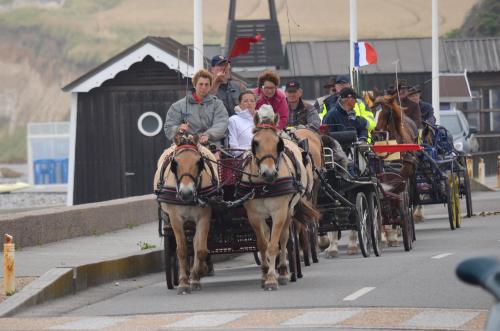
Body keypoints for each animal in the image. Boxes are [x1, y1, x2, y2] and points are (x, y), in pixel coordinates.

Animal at [153, 135, 218, 296]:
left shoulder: (204, 217)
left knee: (194, 244)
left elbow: (200, 250)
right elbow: (181, 250)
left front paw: (197, 275)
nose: (186, 193)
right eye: (174, 163)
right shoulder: (175, 218)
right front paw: (183, 282)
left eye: (199, 162)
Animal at [243, 109, 320, 290]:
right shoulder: (254, 216)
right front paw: (265, 274)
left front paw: (272, 278)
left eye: (278, 144)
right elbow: (263, 244)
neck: (265, 185)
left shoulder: (279, 212)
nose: (269, 173)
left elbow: (273, 246)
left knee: (284, 238)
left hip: (288, 212)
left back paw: (285, 271)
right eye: (255, 143)